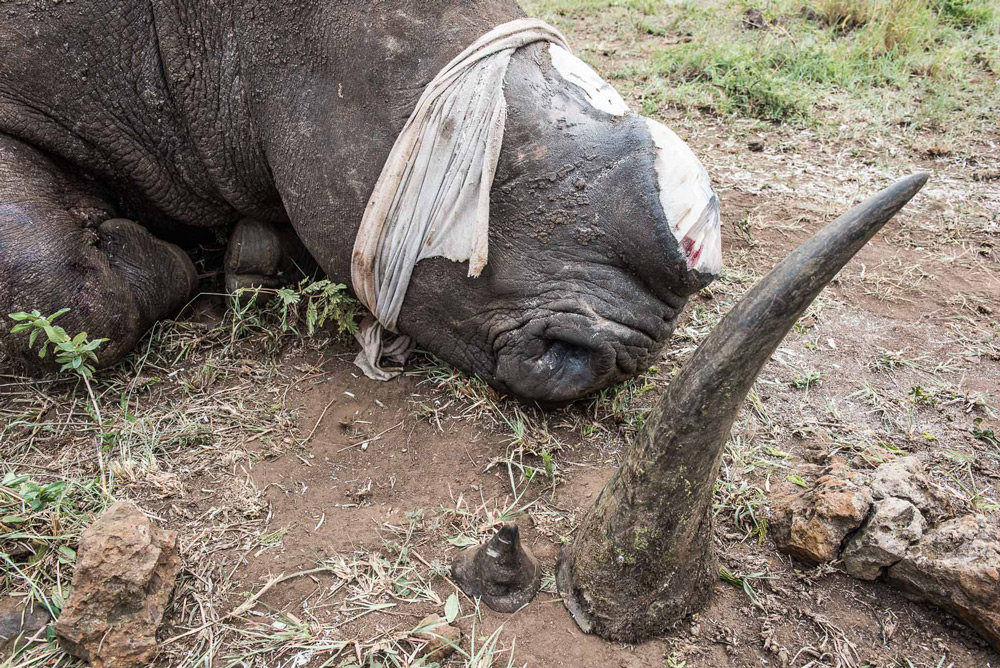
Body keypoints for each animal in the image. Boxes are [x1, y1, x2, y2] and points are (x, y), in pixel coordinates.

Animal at [1, 0, 722, 404]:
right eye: (490, 164)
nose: (625, 358)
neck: (206, 31)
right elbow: (74, 290)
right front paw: (164, 255)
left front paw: (250, 259)